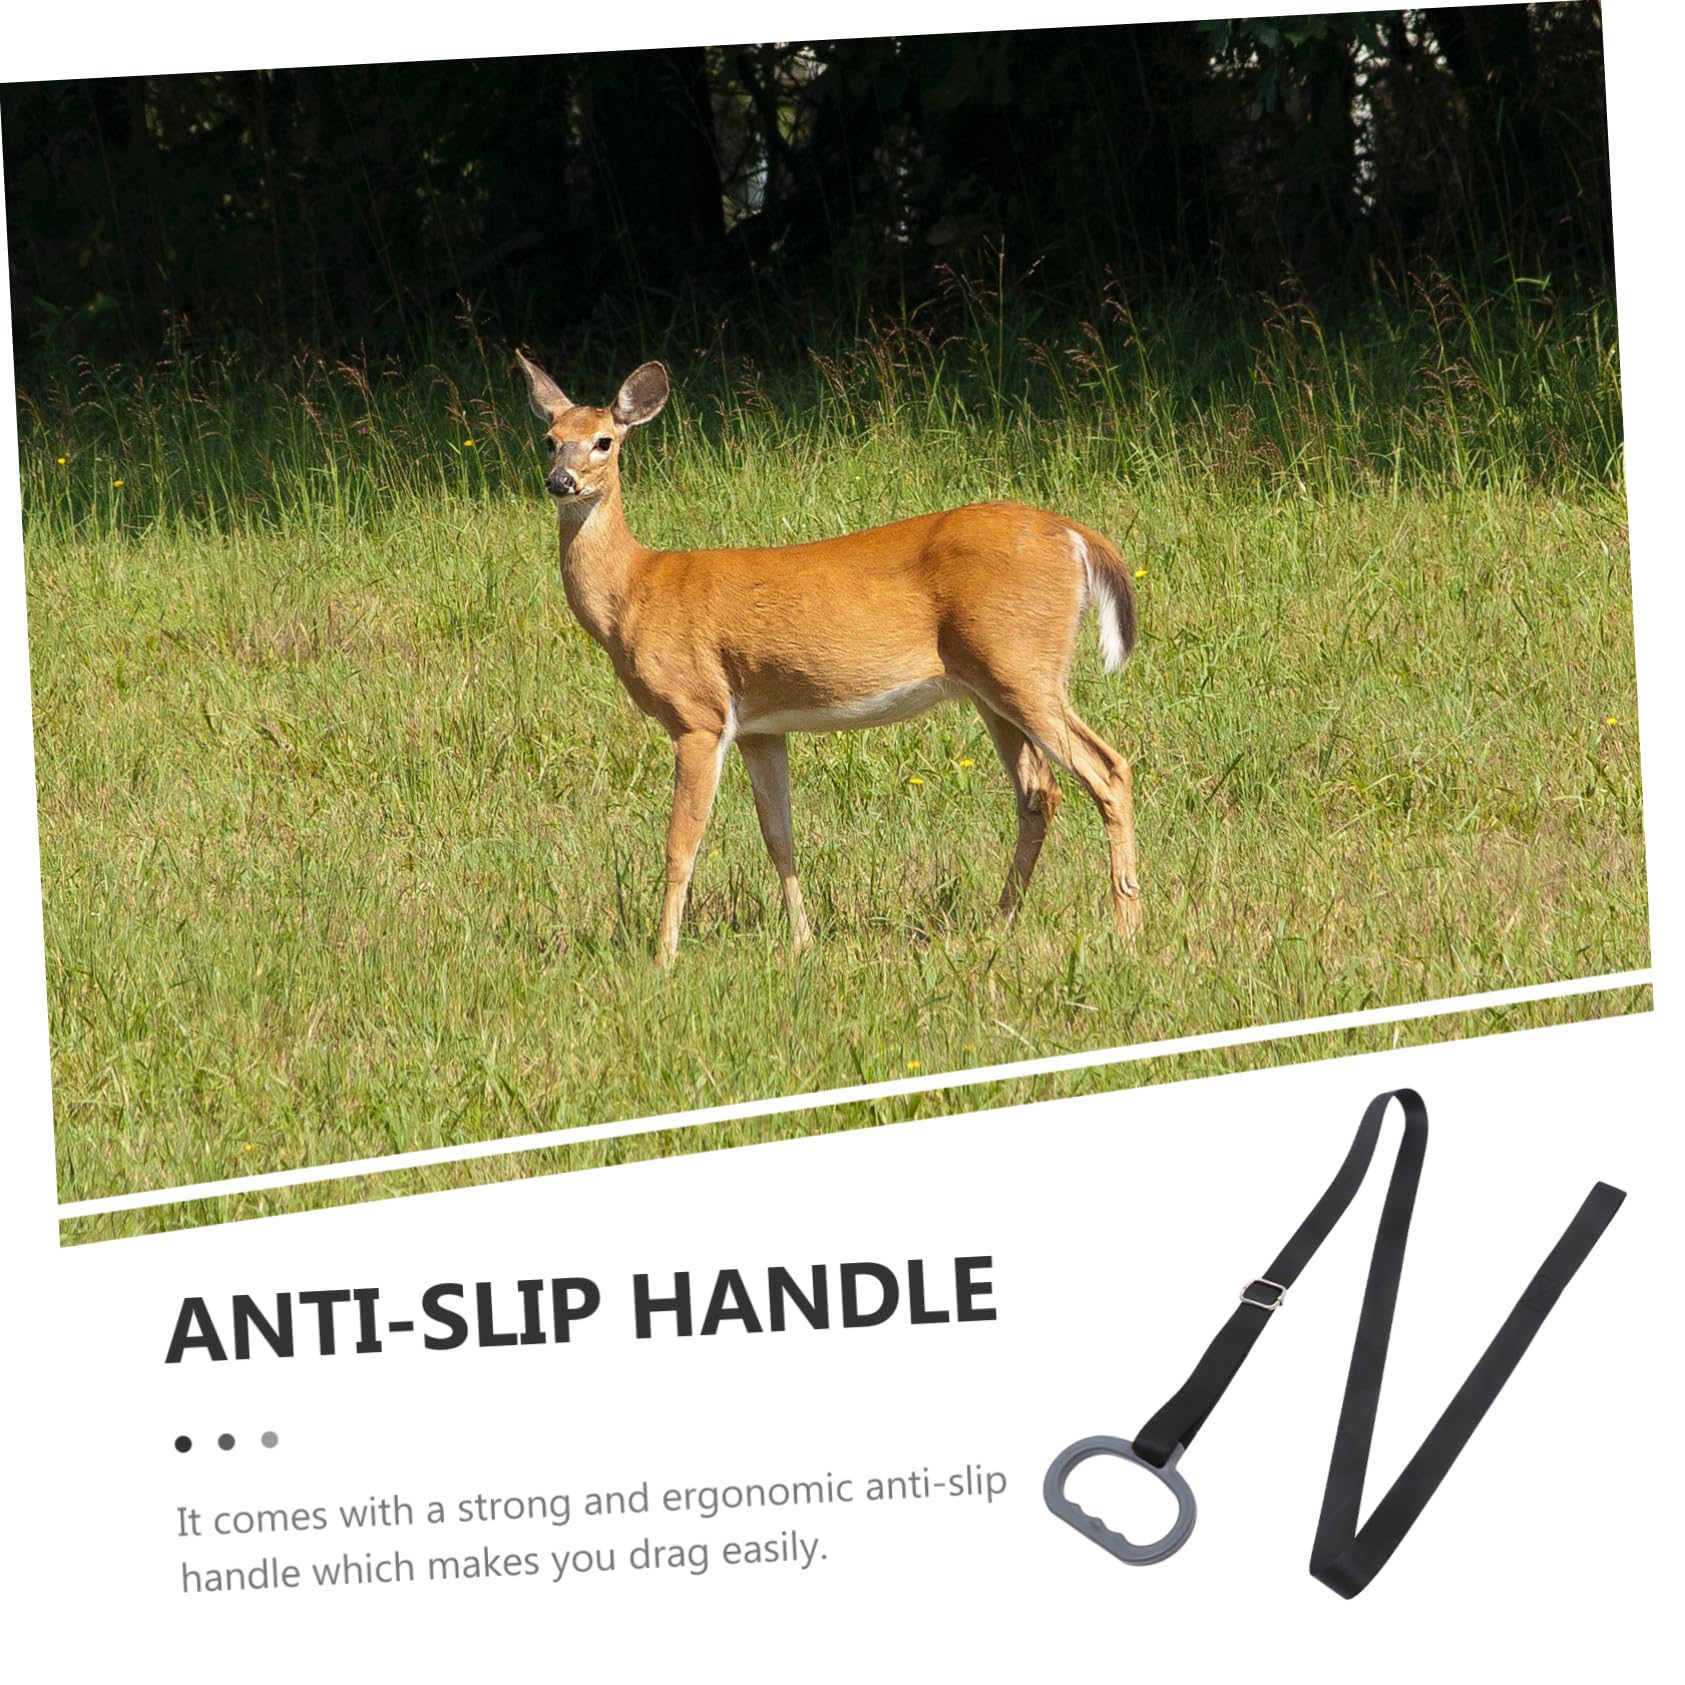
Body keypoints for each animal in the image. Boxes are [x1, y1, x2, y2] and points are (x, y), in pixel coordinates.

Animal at [517, 351, 1143, 967]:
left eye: (603, 441)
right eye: (549, 439)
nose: (561, 481)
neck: (635, 591)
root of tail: (1075, 535)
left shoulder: (697, 713)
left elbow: (681, 842)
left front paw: (663, 957)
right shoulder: (759, 727)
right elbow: (778, 834)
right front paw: (802, 941)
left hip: (1020, 664)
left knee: (1108, 768)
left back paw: (1126, 928)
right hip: (990, 684)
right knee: (1039, 792)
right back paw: (999, 925)